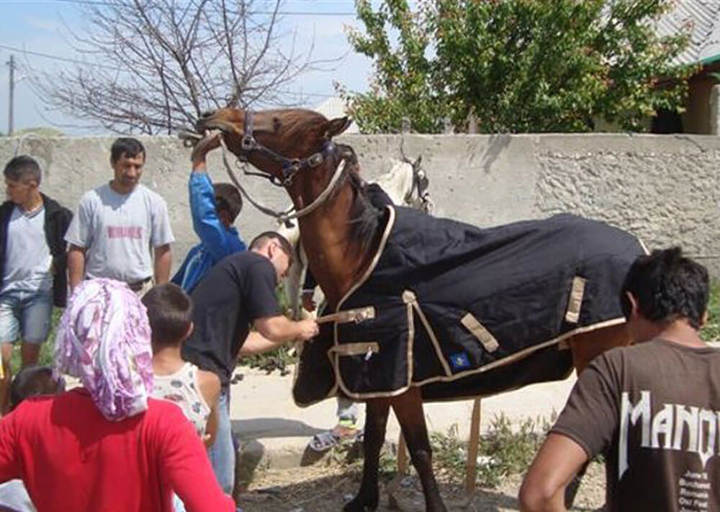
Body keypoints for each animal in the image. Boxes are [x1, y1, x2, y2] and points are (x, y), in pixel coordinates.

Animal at [190, 107, 638, 512]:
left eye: (280, 121)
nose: (215, 118)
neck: (362, 256)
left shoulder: (400, 382)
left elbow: (420, 449)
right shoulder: (375, 377)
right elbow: (375, 438)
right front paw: (365, 500)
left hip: (596, 355)